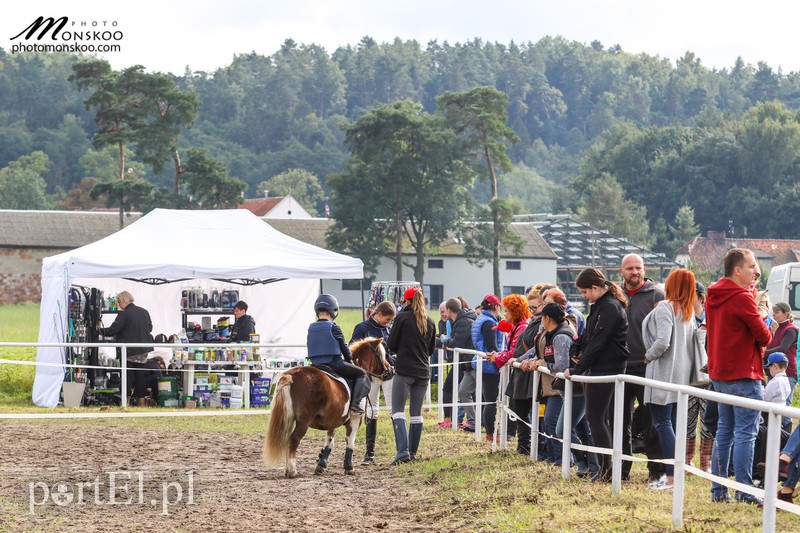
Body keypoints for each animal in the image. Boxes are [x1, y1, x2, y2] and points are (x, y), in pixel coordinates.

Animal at [264, 334, 390, 476]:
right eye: (382, 355)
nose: (391, 370)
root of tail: (290, 375)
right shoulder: (355, 419)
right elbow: (350, 442)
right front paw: (349, 467)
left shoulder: (333, 420)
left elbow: (330, 442)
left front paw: (321, 464)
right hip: (303, 422)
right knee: (294, 440)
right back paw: (291, 471)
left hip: (287, 418)